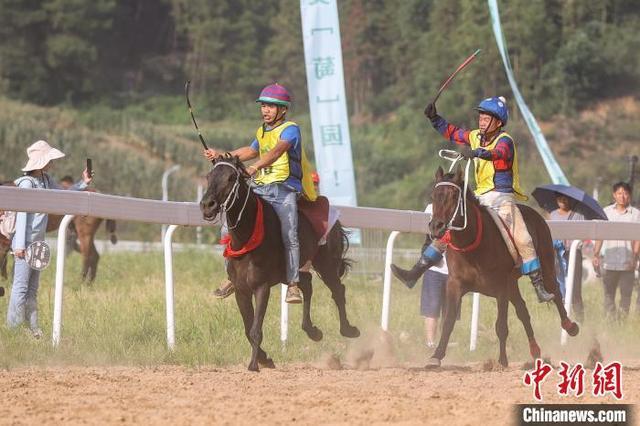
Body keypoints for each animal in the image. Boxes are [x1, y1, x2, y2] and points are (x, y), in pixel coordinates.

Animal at [200, 155, 360, 372]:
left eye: (231, 178)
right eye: (209, 176)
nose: (207, 205)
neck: (248, 237)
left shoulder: (261, 286)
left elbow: (255, 329)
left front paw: (254, 364)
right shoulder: (241, 290)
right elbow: (247, 328)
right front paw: (264, 359)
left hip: (325, 262)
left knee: (337, 290)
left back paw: (348, 329)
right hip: (292, 271)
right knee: (307, 284)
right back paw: (312, 330)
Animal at [428, 168, 576, 368]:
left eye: (453, 196)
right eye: (434, 195)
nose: (436, 227)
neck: (473, 246)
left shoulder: (501, 287)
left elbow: (501, 326)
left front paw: (502, 360)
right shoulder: (455, 284)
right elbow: (449, 320)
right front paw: (436, 355)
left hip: (545, 261)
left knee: (555, 292)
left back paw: (570, 326)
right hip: (512, 284)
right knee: (523, 311)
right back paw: (535, 350)